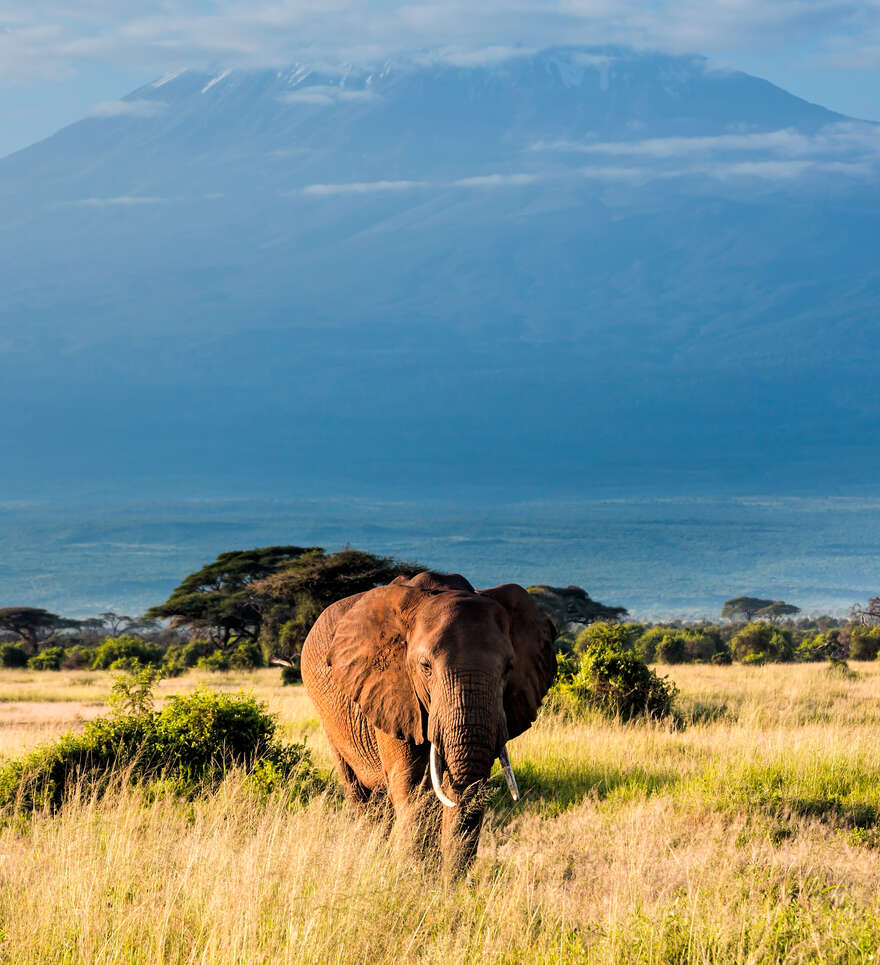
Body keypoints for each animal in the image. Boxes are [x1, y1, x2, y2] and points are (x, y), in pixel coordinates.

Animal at [300, 568, 552, 868]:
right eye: (425, 667)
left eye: (508, 668)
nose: (450, 883)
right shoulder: (393, 692)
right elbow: (415, 790)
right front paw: (414, 875)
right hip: (328, 718)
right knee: (363, 796)